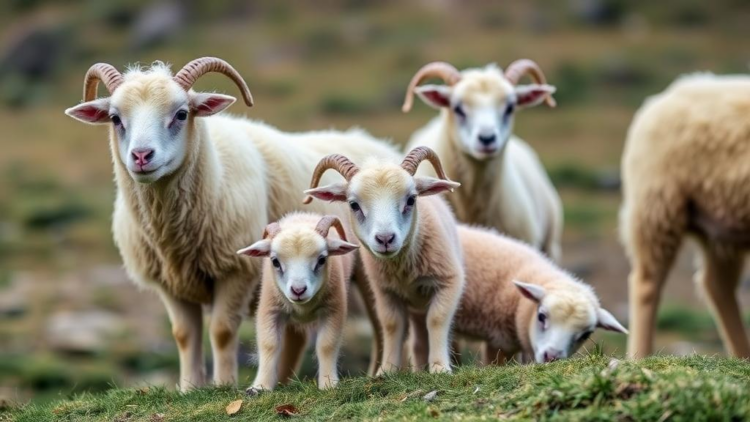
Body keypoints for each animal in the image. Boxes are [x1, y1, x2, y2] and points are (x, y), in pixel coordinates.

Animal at [238, 214, 358, 391]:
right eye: (275, 261)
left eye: (322, 259)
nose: (298, 290)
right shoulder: (270, 308)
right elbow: (269, 344)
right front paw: (260, 387)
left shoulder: (334, 308)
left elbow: (326, 345)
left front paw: (329, 383)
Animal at [304, 146, 465, 374]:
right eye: (353, 205)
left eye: (411, 200)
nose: (385, 239)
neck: (403, 269)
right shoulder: (384, 291)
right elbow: (391, 325)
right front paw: (386, 370)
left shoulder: (449, 282)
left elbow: (437, 319)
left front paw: (440, 367)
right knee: (417, 341)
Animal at [620, 73, 750, 359]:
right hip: (658, 205)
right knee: (646, 283)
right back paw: (639, 356)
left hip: (722, 229)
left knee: (717, 286)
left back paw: (741, 353)